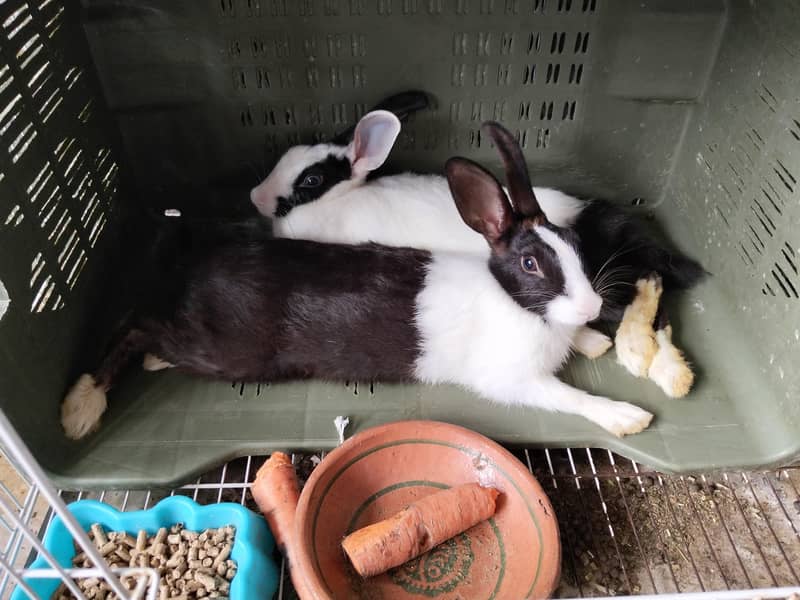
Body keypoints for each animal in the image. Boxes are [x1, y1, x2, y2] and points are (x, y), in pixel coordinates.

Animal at [60, 122, 653, 442]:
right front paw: (628, 416)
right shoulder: (516, 380)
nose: (590, 308)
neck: (515, 304)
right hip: (222, 351)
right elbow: (570, 398)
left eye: (575, 246)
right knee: (135, 325)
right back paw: (80, 407)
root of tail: (193, 268)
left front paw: (594, 340)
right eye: (531, 264)